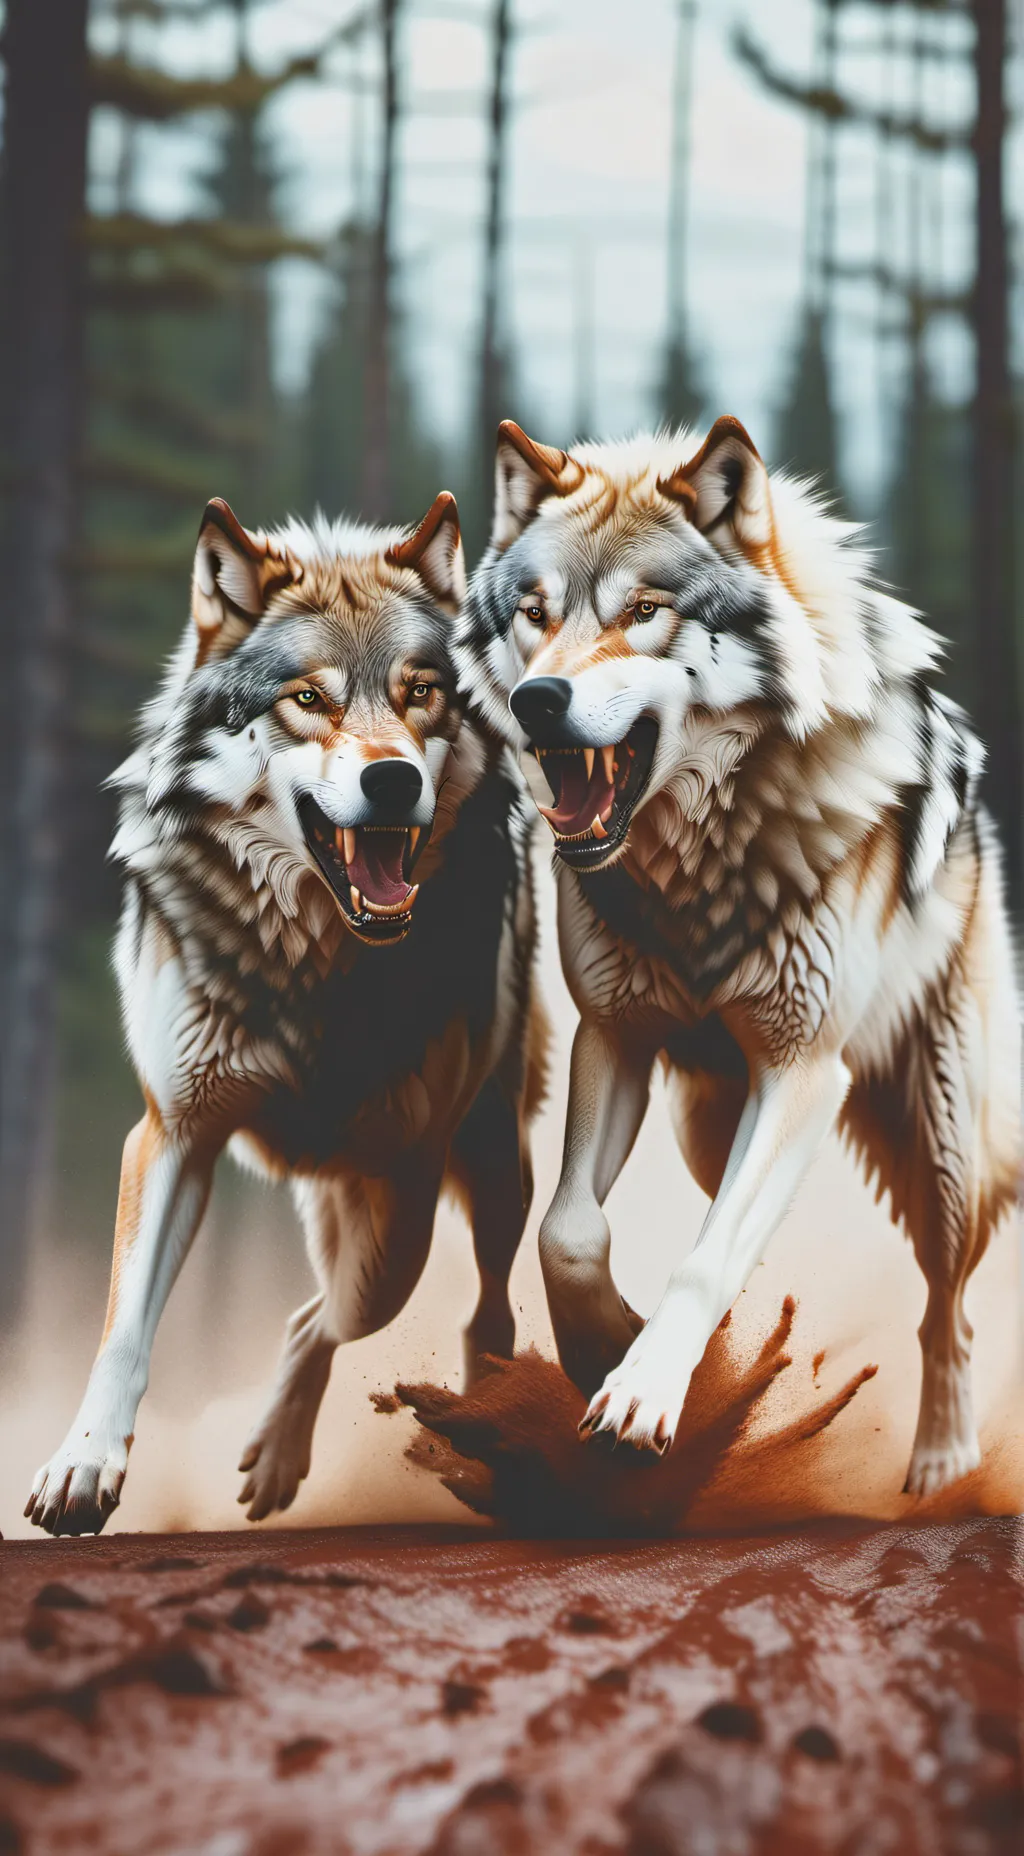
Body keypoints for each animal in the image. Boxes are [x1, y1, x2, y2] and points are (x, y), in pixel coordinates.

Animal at [27, 490, 545, 1535]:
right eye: (308, 699)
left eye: (422, 692)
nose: (394, 779)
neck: (313, 963)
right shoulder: (172, 1134)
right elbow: (125, 1330)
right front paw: (84, 1465)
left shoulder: (408, 1173)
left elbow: (339, 1317)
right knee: (320, 1311)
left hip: (483, 1171)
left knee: (452, 1312)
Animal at [458, 415, 1021, 1497]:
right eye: (534, 614)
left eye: (643, 610)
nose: (540, 699)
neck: (700, 869)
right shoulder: (614, 1036)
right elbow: (569, 1230)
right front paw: (607, 1347)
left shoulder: (803, 1071)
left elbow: (703, 1256)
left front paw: (640, 1397)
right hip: (707, 1123)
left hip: (940, 1147)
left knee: (948, 1304)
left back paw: (941, 1460)